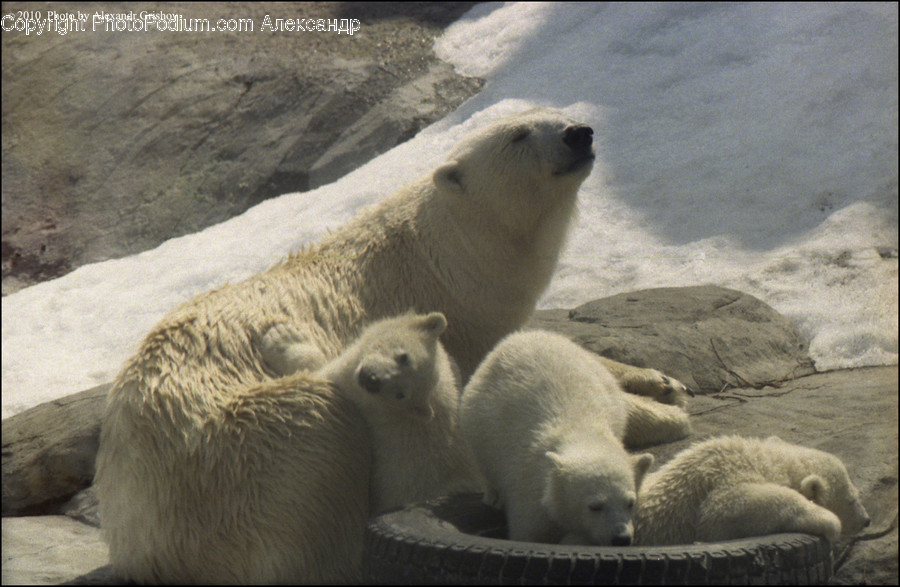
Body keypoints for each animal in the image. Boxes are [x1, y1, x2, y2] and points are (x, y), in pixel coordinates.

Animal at [459, 330, 692, 546]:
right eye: (595, 506)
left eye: (630, 502)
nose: (621, 539)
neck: (581, 434)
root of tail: (526, 334)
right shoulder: (530, 492)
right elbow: (533, 536)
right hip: (477, 417)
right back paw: (494, 496)